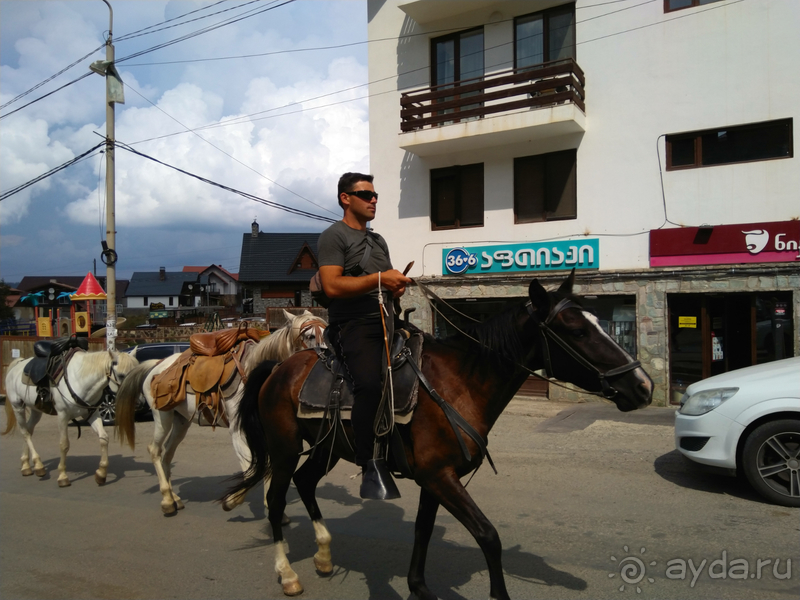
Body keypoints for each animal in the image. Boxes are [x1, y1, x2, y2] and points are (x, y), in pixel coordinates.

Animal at [2, 352, 139, 488]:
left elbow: (104, 438)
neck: (80, 380)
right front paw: (63, 476)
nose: (137, 401)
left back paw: (26, 465)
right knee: (25, 433)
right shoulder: (63, 416)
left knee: (29, 430)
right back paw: (38, 465)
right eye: (121, 375)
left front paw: (101, 473)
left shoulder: (92, 415)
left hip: (36, 411)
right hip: (18, 407)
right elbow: (64, 444)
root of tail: (18, 364)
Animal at [114, 310, 326, 516]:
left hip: (181, 422)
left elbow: (268, 467)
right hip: (162, 417)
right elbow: (251, 471)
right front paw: (232, 501)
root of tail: (157, 364)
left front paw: (272, 507)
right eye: (309, 335)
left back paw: (175, 499)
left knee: (167, 454)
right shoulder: (238, 432)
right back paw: (167, 500)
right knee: (155, 450)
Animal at [222, 274, 652, 600]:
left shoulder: (437, 478)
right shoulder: (439, 477)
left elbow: (423, 530)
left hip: (328, 447)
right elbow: (488, 536)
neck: (459, 384)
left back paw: (325, 556)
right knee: (277, 500)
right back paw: (288, 574)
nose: (643, 386)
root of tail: (278, 368)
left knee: (306, 482)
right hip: (284, 449)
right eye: (577, 331)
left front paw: (418, 586)